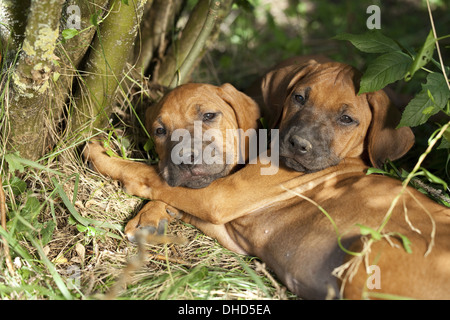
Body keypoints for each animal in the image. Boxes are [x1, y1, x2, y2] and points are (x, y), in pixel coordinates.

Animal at [85, 58, 450, 300]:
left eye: (347, 119)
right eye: (299, 98)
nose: (298, 143)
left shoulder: (221, 198)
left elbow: (146, 174)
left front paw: (100, 154)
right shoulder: (226, 221)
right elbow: (171, 189)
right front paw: (149, 217)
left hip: (371, 254)